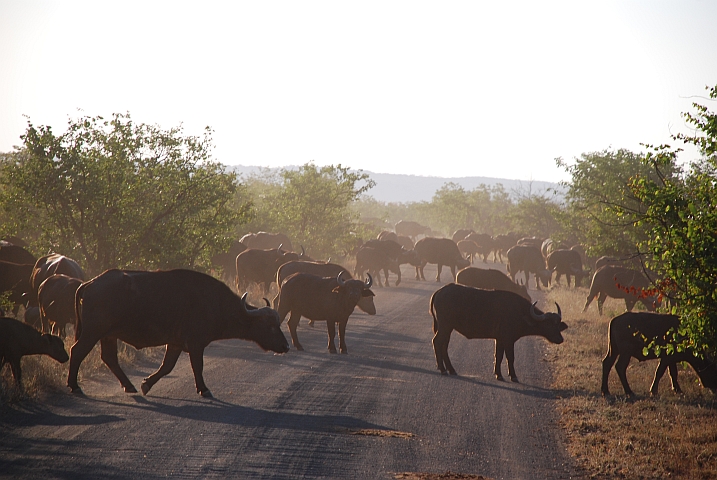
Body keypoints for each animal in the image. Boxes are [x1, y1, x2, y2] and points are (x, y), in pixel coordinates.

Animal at [68, 270, 288, 398]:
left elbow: (167, 367)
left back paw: (129, 386)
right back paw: (74, 386)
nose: (286, 346)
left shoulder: (175, 344)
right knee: (77, 351)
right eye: (270, 326)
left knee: (109, 358)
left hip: (108, 335)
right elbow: (197, 366)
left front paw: (146, 384)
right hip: (93, 332)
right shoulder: (196, 344)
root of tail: (90, 283)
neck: (214, 302)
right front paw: (204, 389)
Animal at [428, 284, 568, 380]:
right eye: (548, 324)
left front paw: (498, 374)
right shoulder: (508, 340)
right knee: (437, 342)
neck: (520, 313)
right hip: (445, 326)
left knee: (444, 345)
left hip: (447, 328)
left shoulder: (499, 339)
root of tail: (440, 291)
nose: (560, 339)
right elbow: (510, 357)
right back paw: (443, 369)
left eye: (557, 324)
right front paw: (513, 376)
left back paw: (451, 369)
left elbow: (499, 356)